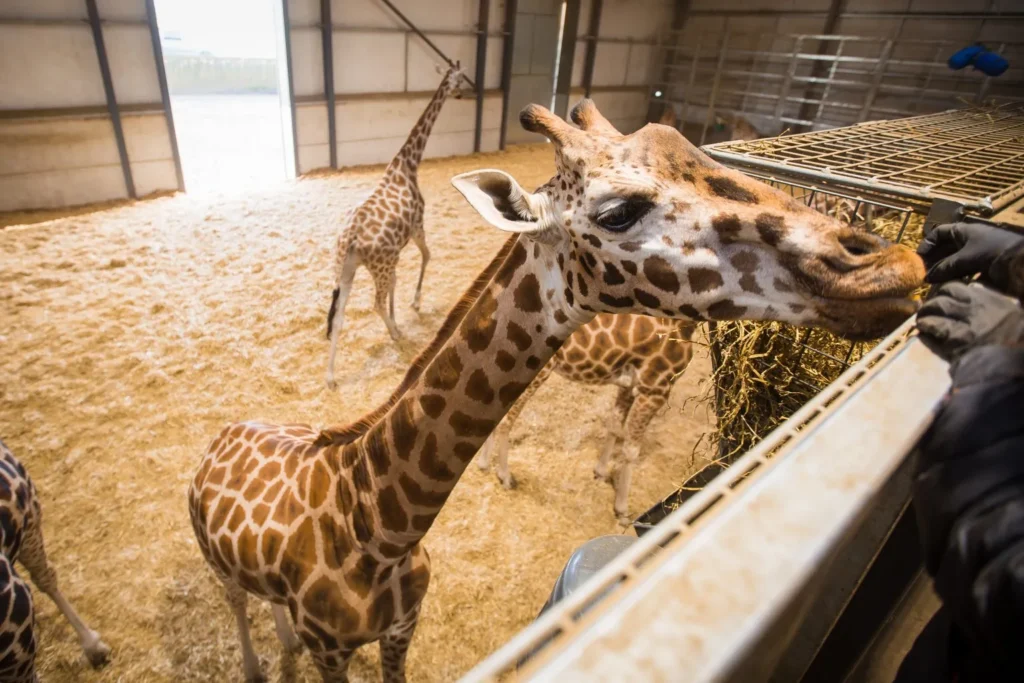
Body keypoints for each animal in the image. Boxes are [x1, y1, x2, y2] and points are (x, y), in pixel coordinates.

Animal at [325, 62, 465, 390]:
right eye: (461, 79)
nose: (468, 93)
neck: (408, 164)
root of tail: (349, 237)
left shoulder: (396, 253)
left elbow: (396, 284)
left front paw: (399, 315)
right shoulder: (417, 226)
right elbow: (427, 257)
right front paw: (414, 305)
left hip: (347, 269)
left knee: (338, 314)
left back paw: (331, 376)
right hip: (377, 265)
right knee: (373, 302)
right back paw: (395, 334)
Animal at [476, 314, 697, 523]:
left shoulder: (628, 385)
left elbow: (614, 425)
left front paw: (600, 472)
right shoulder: (654, 389)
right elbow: (631, 451)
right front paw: (622, 510)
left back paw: (483, 464)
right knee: (506, 420)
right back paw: (505, 477)